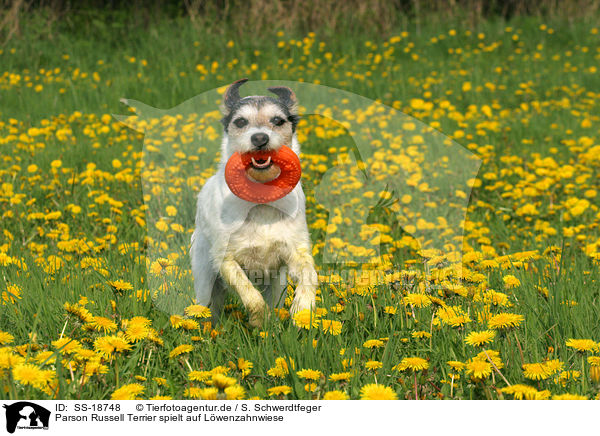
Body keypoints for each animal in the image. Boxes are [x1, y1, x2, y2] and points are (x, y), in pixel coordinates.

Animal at [191, 79, 318, 328]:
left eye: (278, 120)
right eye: (241, 121)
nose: (260, 138)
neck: (261, 198)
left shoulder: (296, 249)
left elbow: (309, 274)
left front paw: (302, 309)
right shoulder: (226, 259)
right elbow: (249, 293)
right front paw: (260, 320)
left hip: (277, 285)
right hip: (204, 280)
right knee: (205, 306)